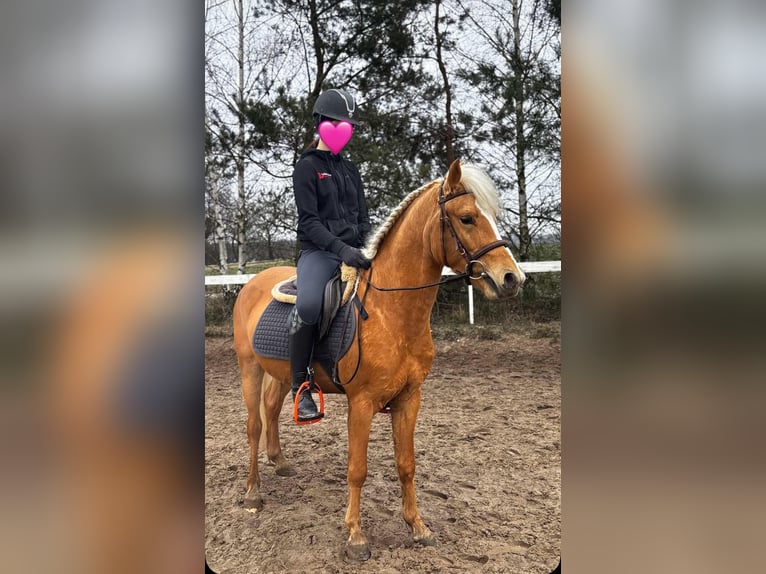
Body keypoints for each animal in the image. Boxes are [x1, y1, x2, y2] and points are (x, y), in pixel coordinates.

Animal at [231, 161, 524, 564]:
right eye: (466, 218)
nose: (512, 279)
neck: (392, 312)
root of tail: (253, 282)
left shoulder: (410, 399)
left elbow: (406, 464)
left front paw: (418, 527)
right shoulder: (362, 403)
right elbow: (357, 469)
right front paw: (356, 537)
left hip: (279, 371)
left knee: (273, 409)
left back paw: (280, 462)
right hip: (250, 368)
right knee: (254, 426)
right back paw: (253, 492)